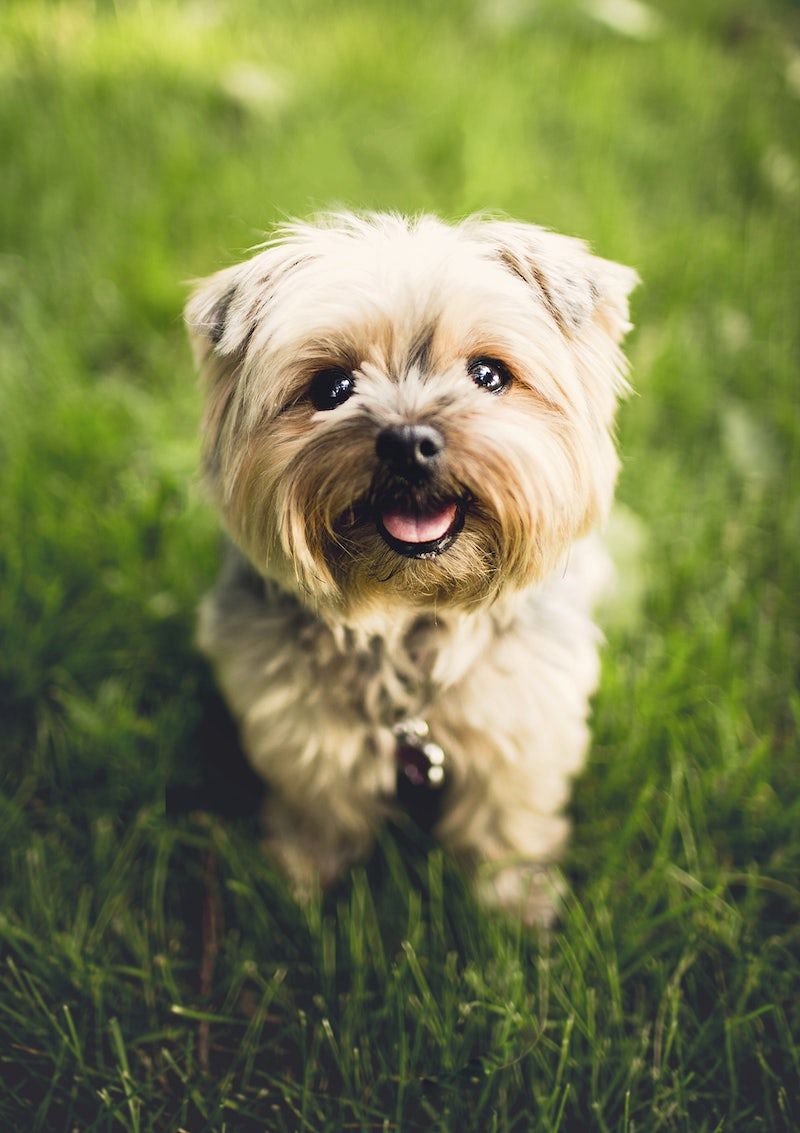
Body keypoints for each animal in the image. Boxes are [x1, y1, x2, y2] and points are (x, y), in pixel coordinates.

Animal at [182, 213, 634, 929]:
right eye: (332, 389)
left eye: (488, 375)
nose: (408, 441)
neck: (408, 614)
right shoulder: (298, 723)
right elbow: (320, 807)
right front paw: (299, 885)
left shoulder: (522, 713)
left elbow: (507, 815)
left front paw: (515, 903)